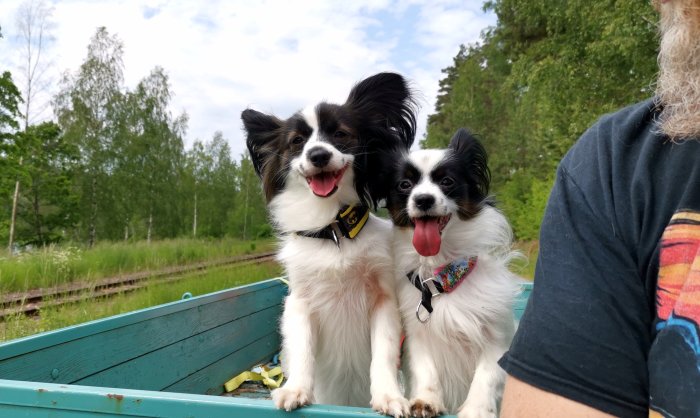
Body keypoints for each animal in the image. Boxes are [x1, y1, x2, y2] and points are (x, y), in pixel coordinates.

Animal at [242, 73, 416, 416]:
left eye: (340, 134)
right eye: (297, 142)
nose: (318, 155)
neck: (333, 231)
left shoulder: (383, 302)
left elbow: (384, 352)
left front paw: (389, 396)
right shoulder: (300, 303)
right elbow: (302, 350)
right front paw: (295, 389)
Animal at [382, 129, 520, 416]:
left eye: (447, 181)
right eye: (404, 185)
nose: (423, 199)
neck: (444, 276)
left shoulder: (497, 339)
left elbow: (486, 376)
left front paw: (476, 409)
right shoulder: (418, 337)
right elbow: (426, 370)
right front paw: (426, 400)